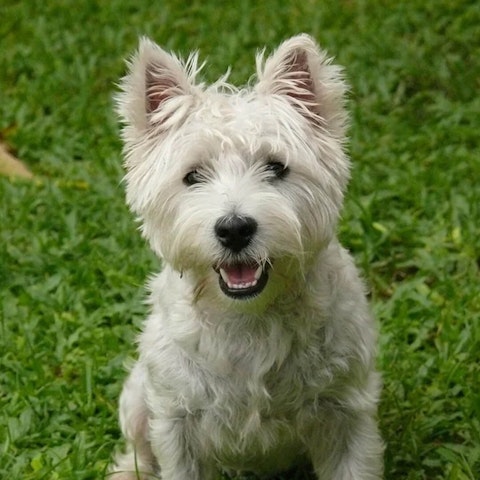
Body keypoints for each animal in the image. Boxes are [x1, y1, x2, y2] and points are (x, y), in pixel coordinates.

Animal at [110, 34, 384, 480]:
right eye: (192, 176)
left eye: (276, 167)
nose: (235, 229)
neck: (248, 319)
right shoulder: (176, 421)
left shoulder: (347, 412)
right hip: (138, 395)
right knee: (138, 447)